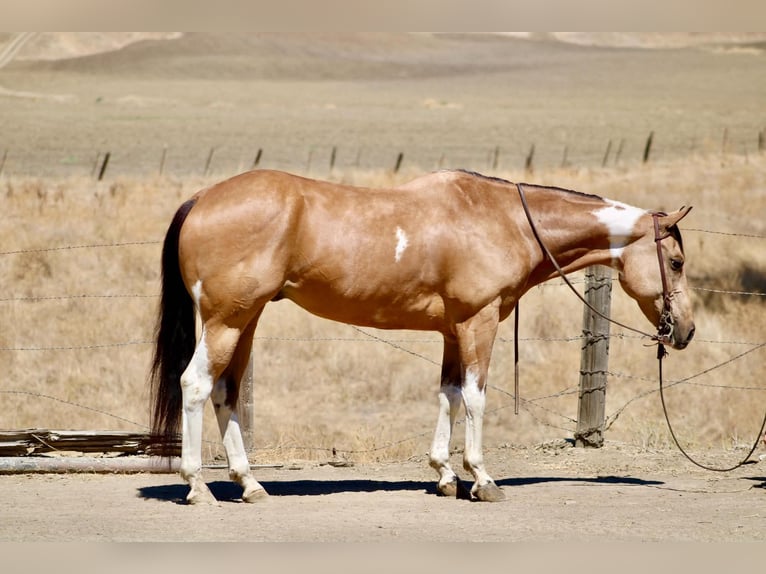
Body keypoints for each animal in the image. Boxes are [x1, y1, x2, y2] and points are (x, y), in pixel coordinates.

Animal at [150, 168, 695, 504]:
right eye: (676, 262)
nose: (685, 330)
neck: (504, 220)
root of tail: (203, 199)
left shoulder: (454, 331)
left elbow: (448, 395)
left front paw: (445, 475)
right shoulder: (479, 323)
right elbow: (474, 398)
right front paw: (481, 479)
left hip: (245, 320)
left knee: (225, 392)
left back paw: (249, 484)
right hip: (226, 321)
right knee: (196, 386)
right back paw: (197, 486)